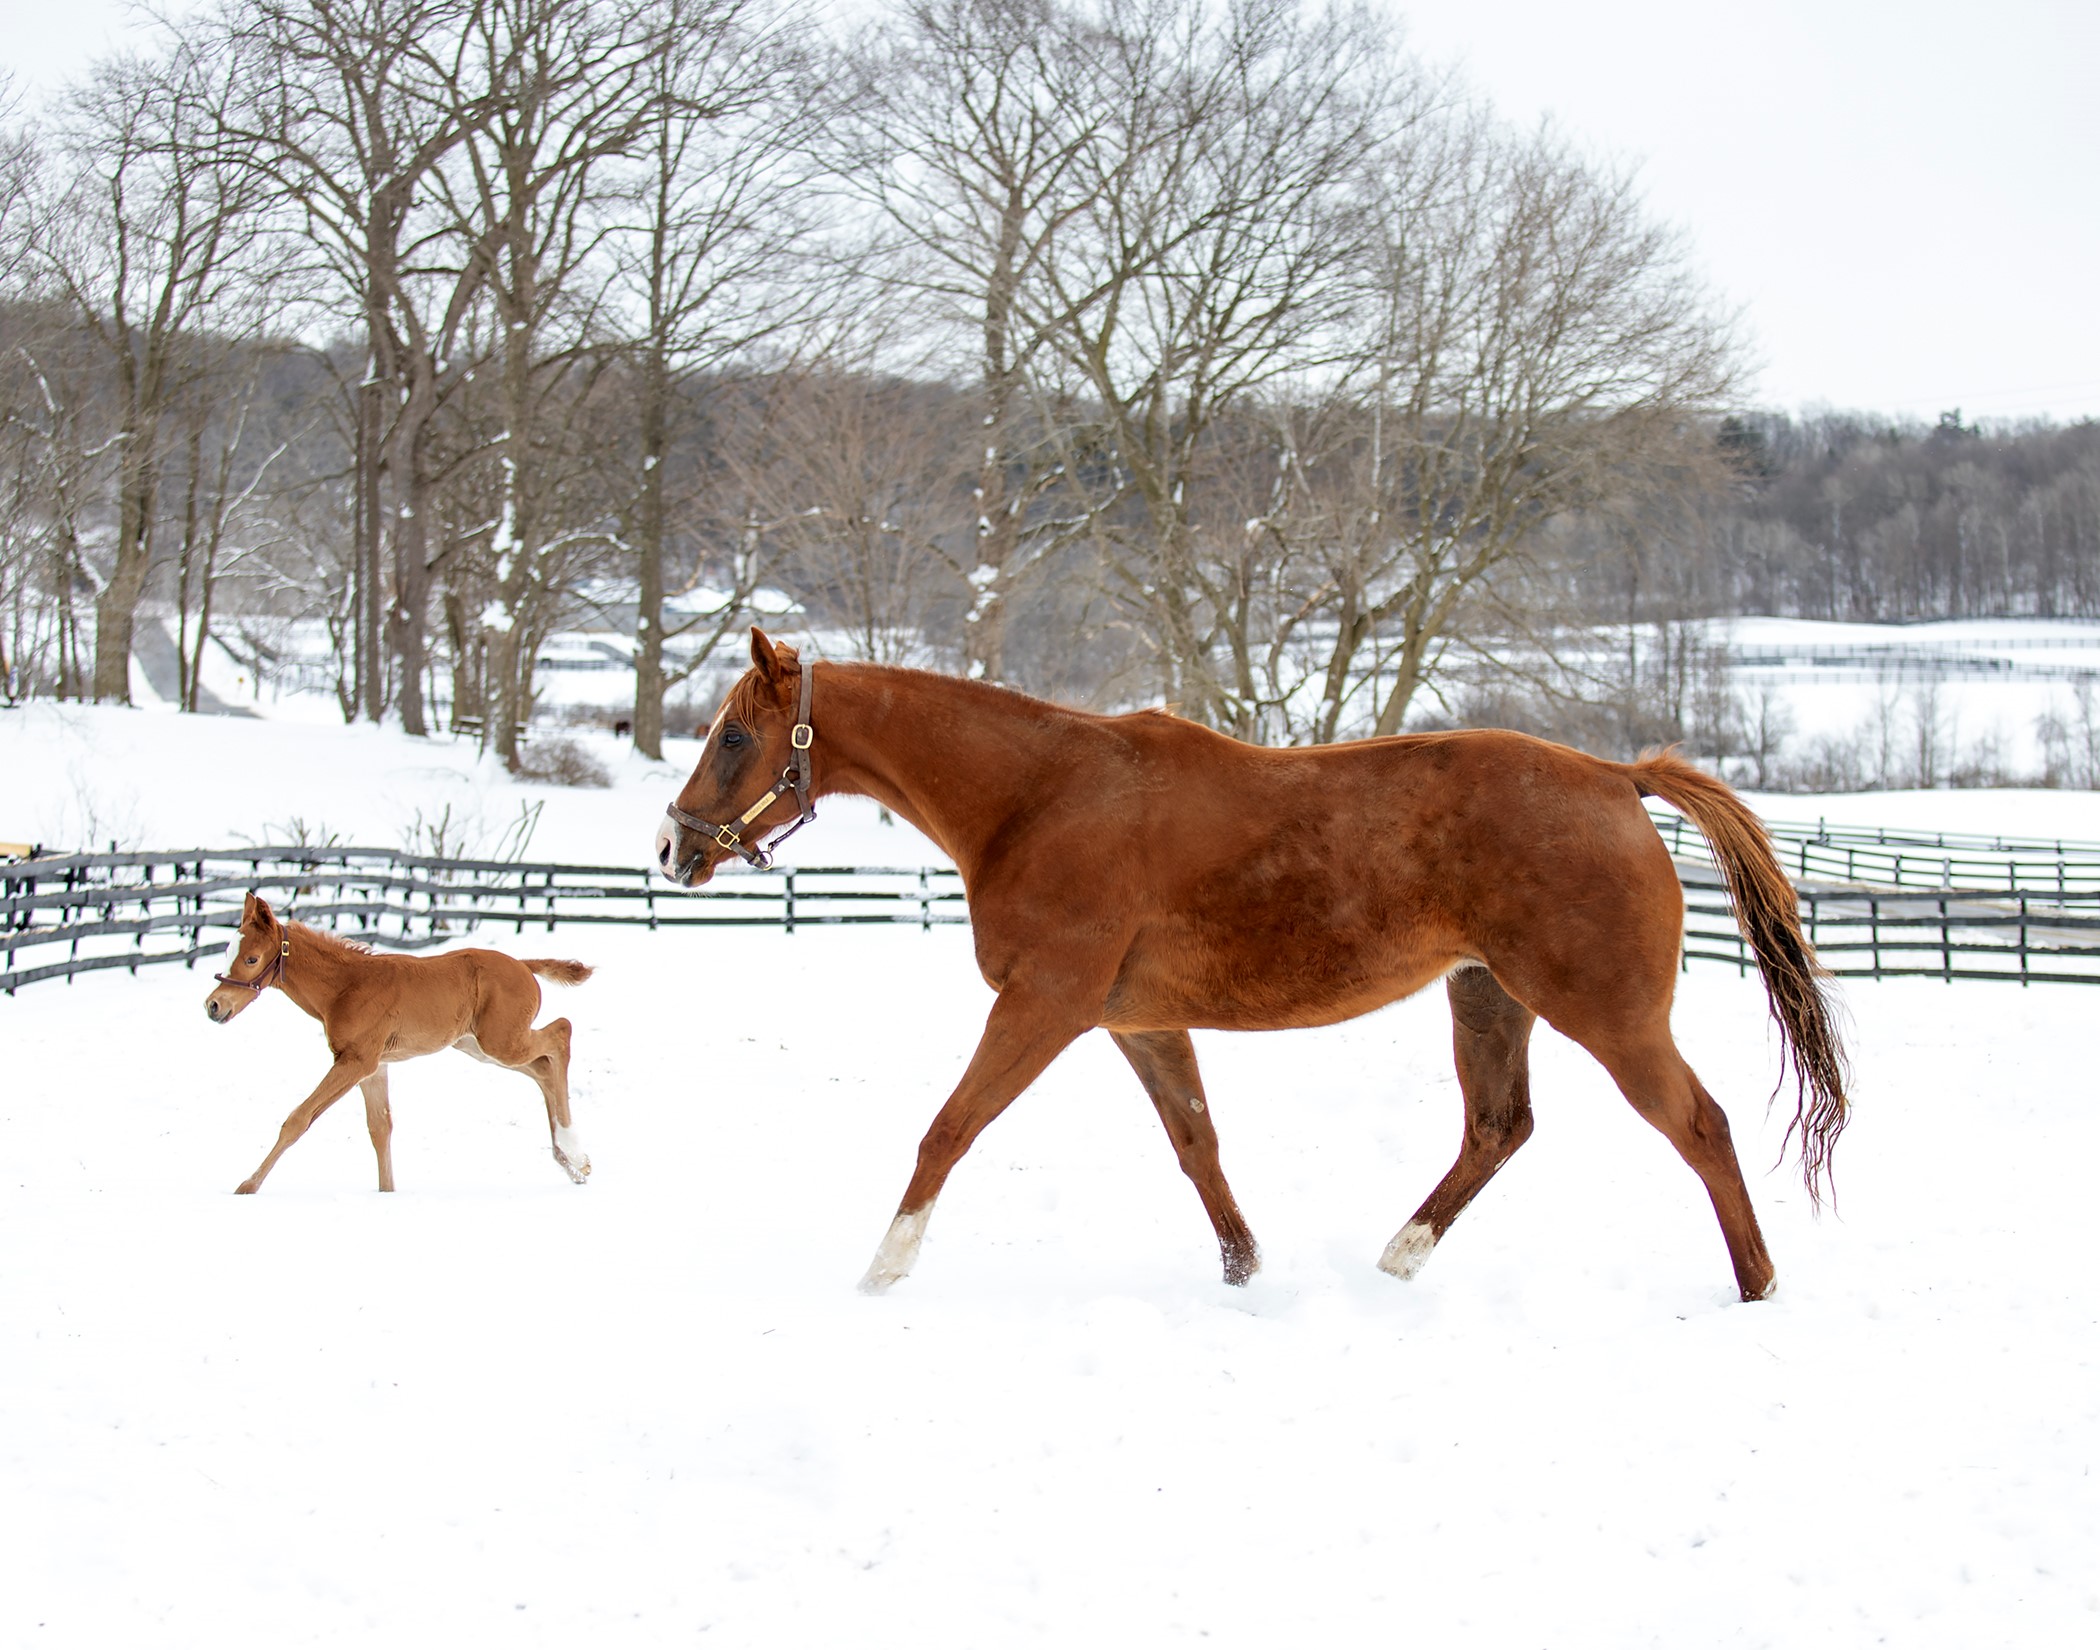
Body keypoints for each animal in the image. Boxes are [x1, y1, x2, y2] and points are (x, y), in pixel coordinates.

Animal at [205, 894, 596, 1192]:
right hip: (478, 1046)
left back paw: (574, 1152)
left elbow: (298, 1119)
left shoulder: (356, 1061)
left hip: (500, 1041)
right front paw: (387, 1192)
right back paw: (571, 1161)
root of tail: (524, 965)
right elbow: (380, 1129)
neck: (346, 987)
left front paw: (247, 1187)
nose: (213, 1006)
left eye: (252, 958)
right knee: (543, 1067)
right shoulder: (373, 1066)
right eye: (227, 953)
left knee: (560, 1034)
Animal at [659, 629, 1856, 1301]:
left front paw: (881, 1272)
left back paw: (1759, 1290)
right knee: (1498, 1129)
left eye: (732, 738)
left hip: (1607, 1013)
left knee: (1699, 1126)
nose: (673, 849)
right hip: (1489, 999)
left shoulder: (1043, 1007)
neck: (1039, 799)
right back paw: (1395, 1262)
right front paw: (1246, 1272)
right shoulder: (1134, 1021)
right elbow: (1197, 1146)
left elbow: (947, 1130)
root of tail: (1618, 778)